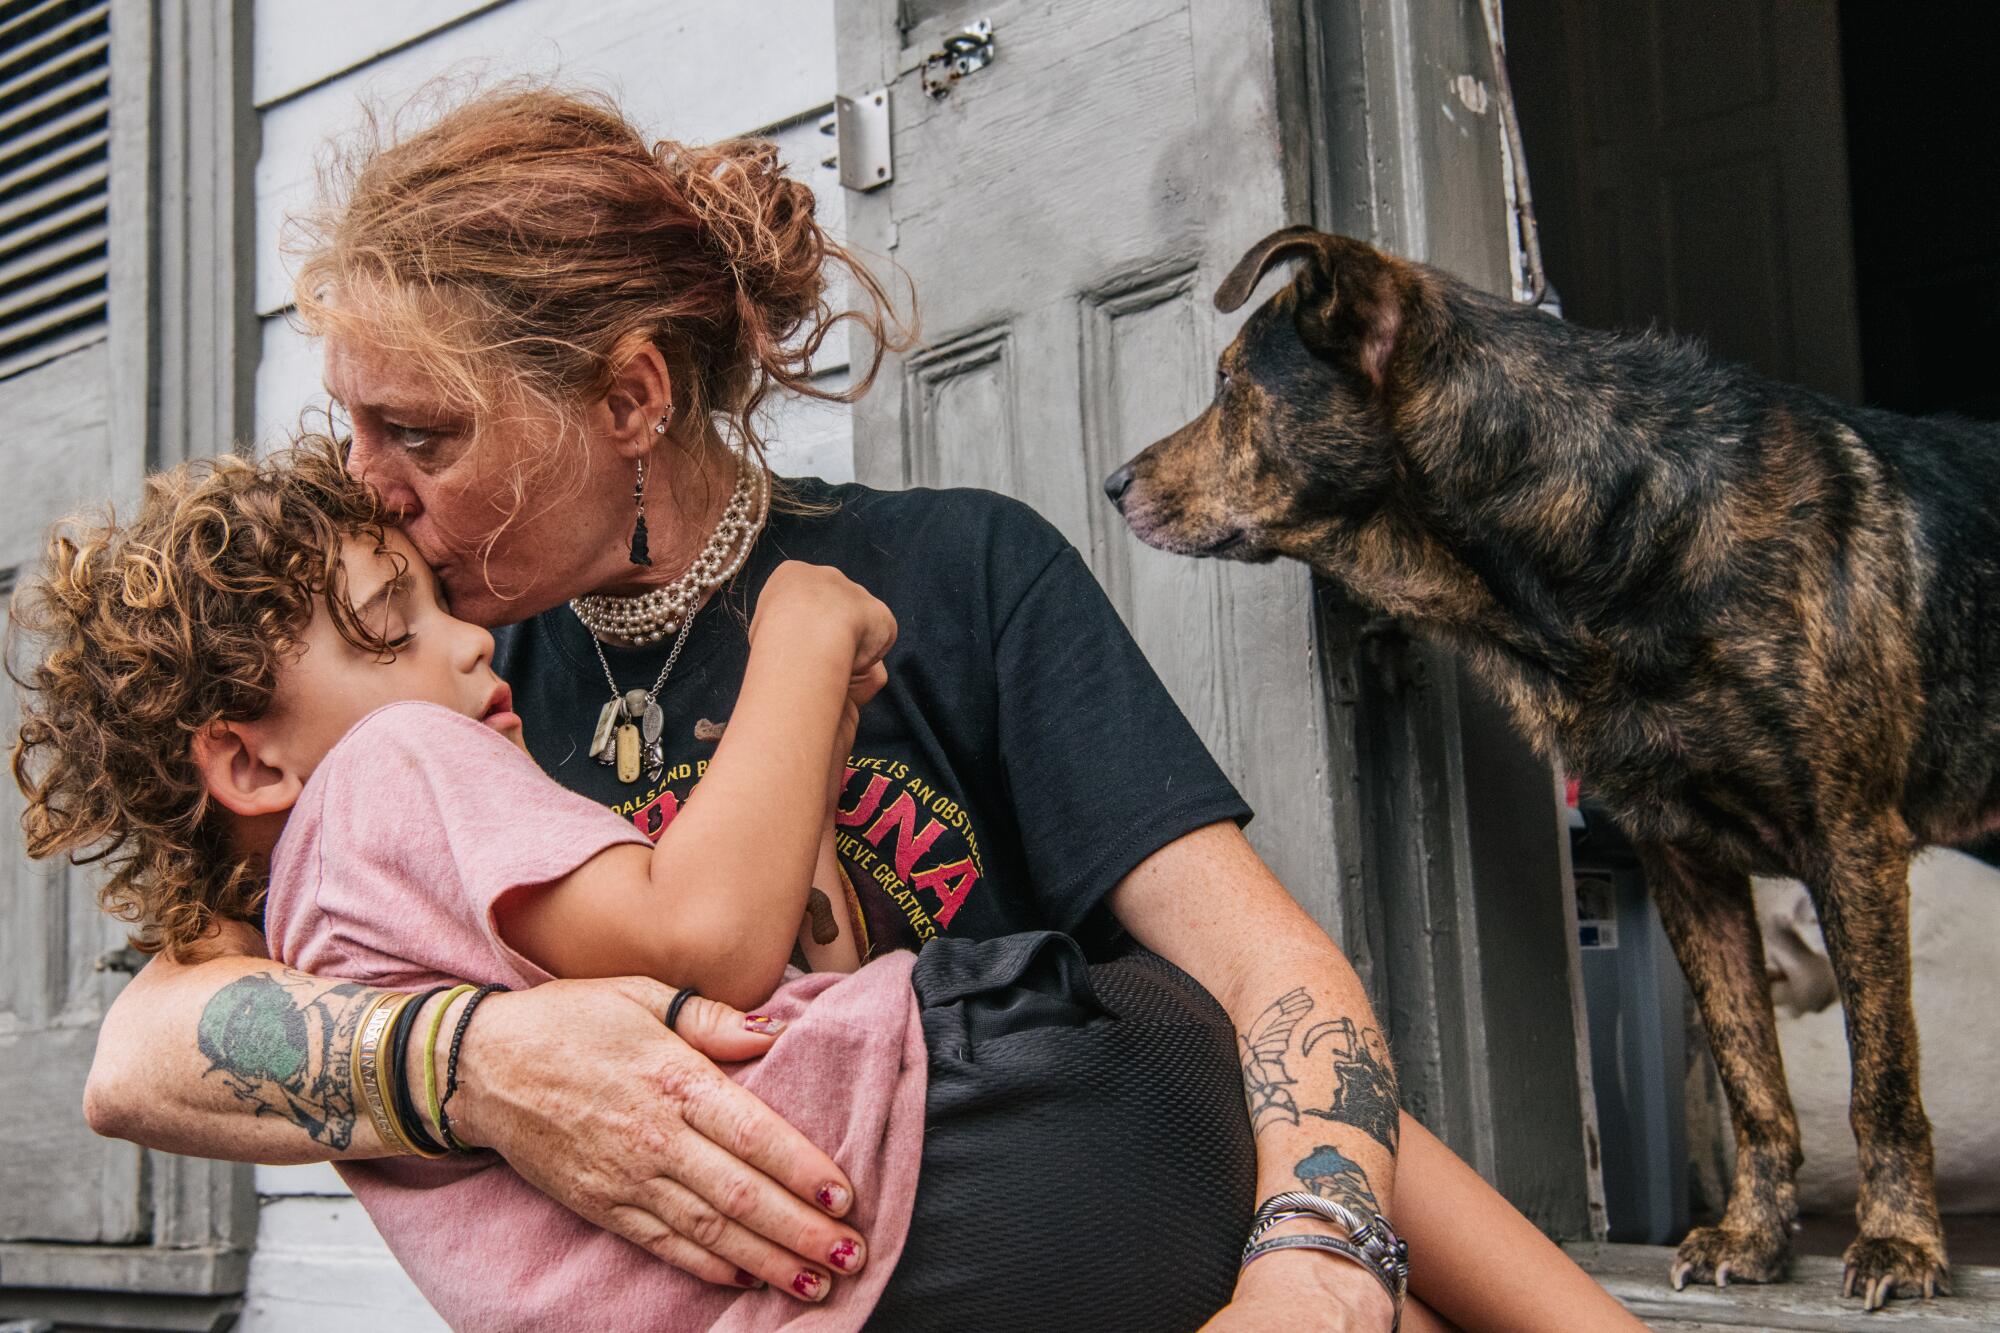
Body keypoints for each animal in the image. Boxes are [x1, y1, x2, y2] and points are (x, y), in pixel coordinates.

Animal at [1112, 223, 2000, 1304]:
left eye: (1231, 382)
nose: (1112, 484)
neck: (1617, 529)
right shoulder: (1683, 860)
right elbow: (1750, 1071)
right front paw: (1752, 1235)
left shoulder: (1852, 840)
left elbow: (1881, 1075)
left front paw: (1901, 1241)